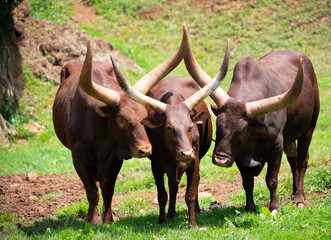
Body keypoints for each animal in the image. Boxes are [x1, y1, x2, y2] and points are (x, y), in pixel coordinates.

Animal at [53, 27, 191, 226]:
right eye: (122, 120)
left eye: (145, 117)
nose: (145, 150)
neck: (99, 135)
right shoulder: (78, 159)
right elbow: (92, 191)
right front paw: (93, 221)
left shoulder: (115, 158)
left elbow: (108, 190)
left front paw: (107, 219)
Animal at [111, 26, 231, 229]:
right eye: (168, 128)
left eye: (191, 126)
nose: (186, 153)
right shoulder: (156, 165)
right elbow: (162, 194)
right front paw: (162, 220)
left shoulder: (194, 162)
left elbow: (190, 193)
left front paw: (192, 223)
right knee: (173, 187)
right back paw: (171, 214)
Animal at [185, 39, 320, 214]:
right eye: (218, 125)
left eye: (243, 131)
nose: (221, 159)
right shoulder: (238, 154)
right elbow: (247, 182)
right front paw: (250, 208)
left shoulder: (276, 146)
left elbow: (272, 179)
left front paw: (274, 208)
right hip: (289, 138)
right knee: (293, 160)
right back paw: (293, 194)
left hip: (309, 127)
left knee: (302, 159)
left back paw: (299, 197)